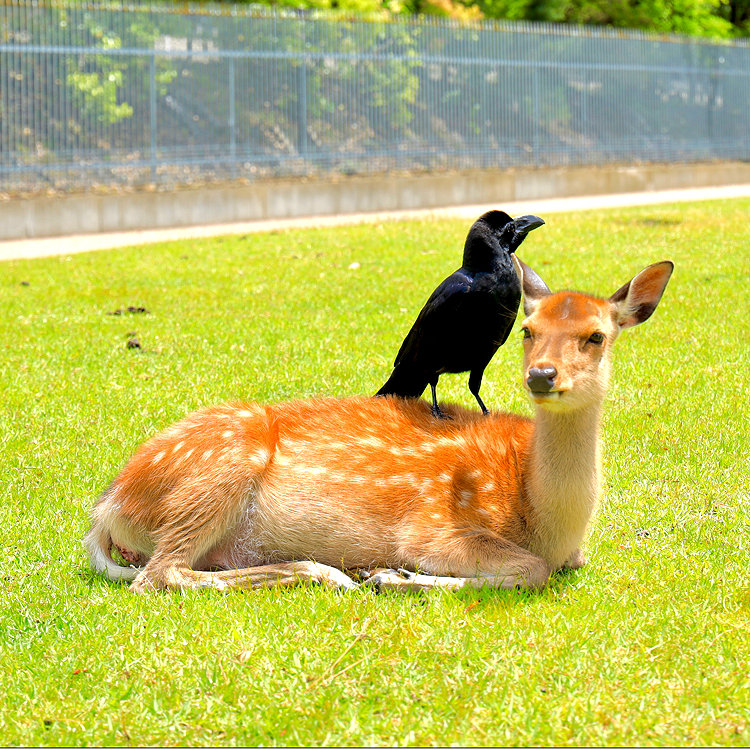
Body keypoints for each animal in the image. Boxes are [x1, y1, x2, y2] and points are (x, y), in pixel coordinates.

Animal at [86, 258, 676, 592]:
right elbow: (529, 571)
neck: (548, 520)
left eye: (597, 335)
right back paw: (329, 573)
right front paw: (395, 575)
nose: (542, 374)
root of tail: (109, 508)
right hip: (217, 472)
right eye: (526, 330)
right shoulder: (433, 526)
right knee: (158, 575)